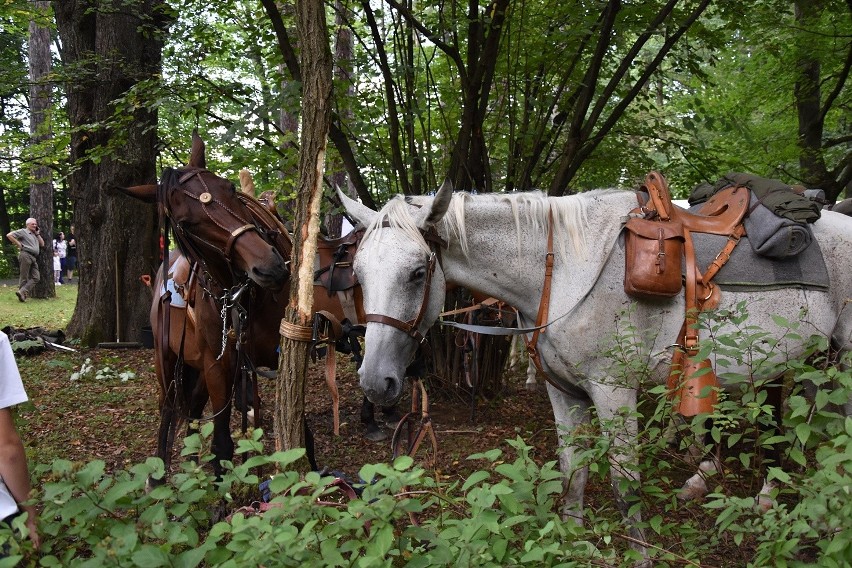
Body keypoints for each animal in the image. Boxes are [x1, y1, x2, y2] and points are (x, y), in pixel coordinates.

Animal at [340, 182, 852, 560]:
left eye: (417, 273)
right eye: (358, 275)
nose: (375, 382)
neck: (564, 270)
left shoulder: (613, 391)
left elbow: (626, 482)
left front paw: (640, 553)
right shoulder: (564, 392)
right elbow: (573, 469)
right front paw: (570, 535)